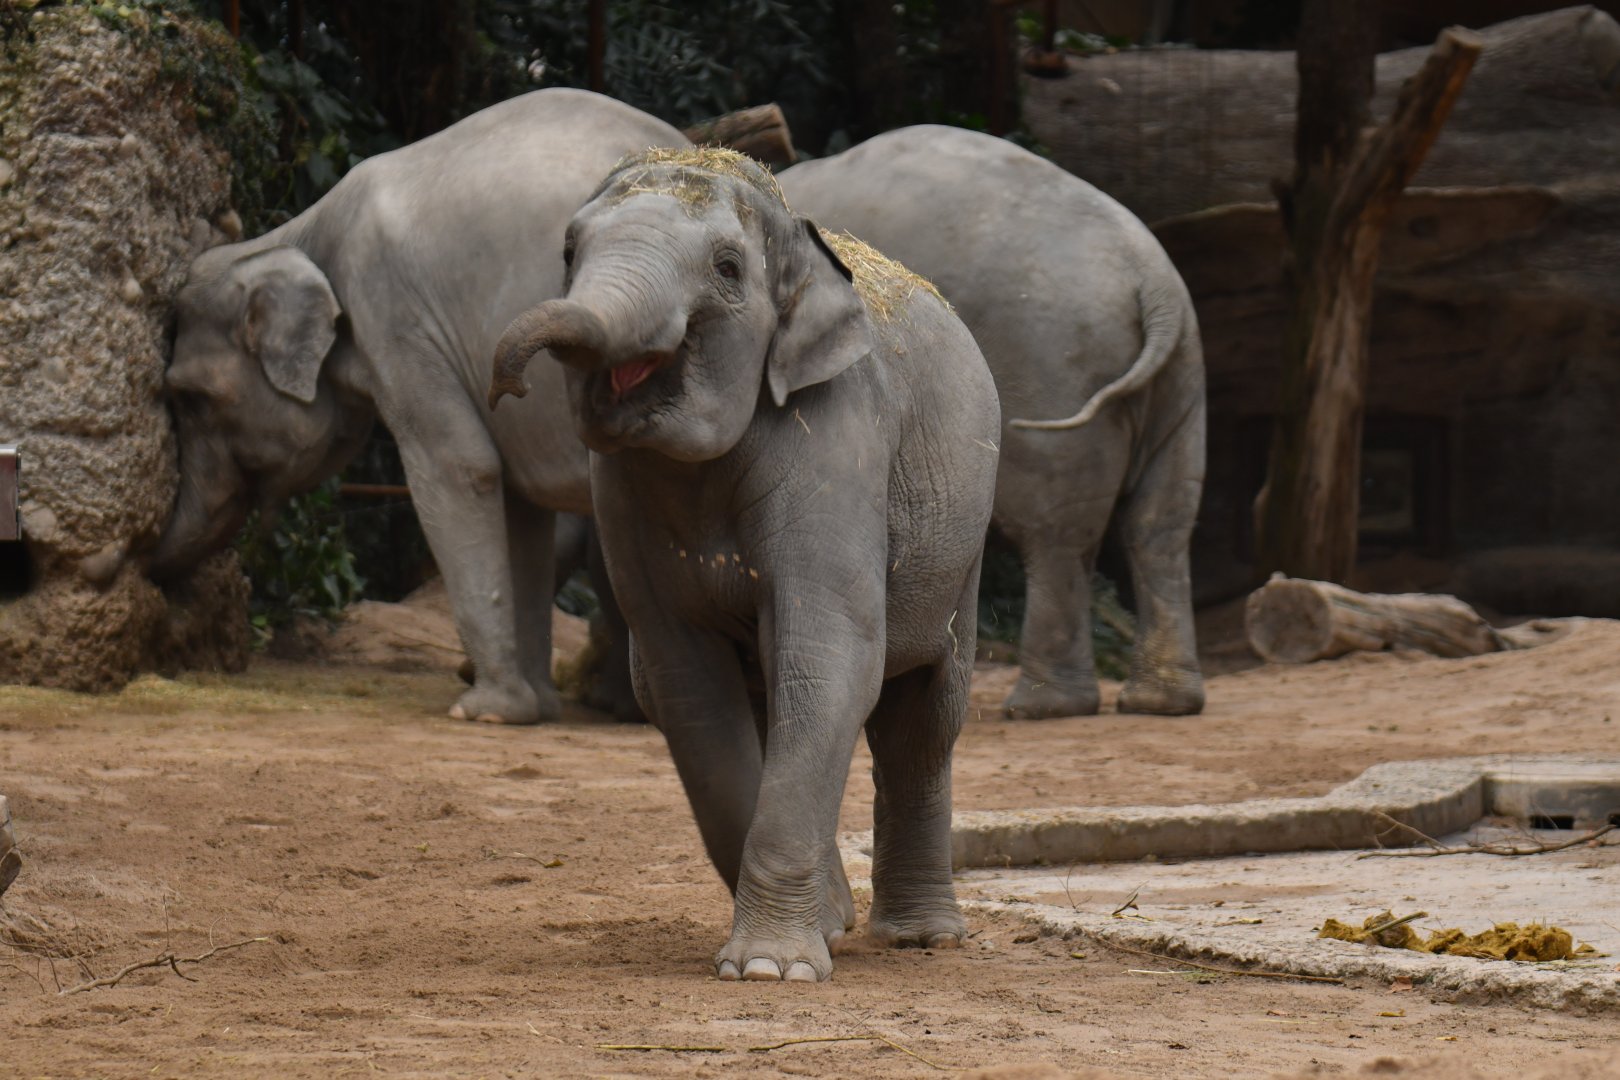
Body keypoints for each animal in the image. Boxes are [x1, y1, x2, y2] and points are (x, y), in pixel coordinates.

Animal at [149, 89, 684, 724]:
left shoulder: (397, 317)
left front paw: (484, 711)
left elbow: (462, 465)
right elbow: (523, 509)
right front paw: (533, 707)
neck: (299, 231)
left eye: (191, 399)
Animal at [489, 148, 1001, 982]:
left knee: (923, 716)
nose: (507, 383)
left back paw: (922, 938)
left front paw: (772, 970)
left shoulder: (836, 441)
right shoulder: (622, 496)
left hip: (967, 542)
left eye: (727, 268)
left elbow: (829, 659)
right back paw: (850, 920)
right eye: (568, 250)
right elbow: (686, 684)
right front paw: (809, 936)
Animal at [778, 125, 1207, 718]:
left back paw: (1037, 707)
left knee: (1057, 535)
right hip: (1181, 372)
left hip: (1055, 367)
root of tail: (1153, 283)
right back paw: (1160, 702)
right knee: (1160, 521)